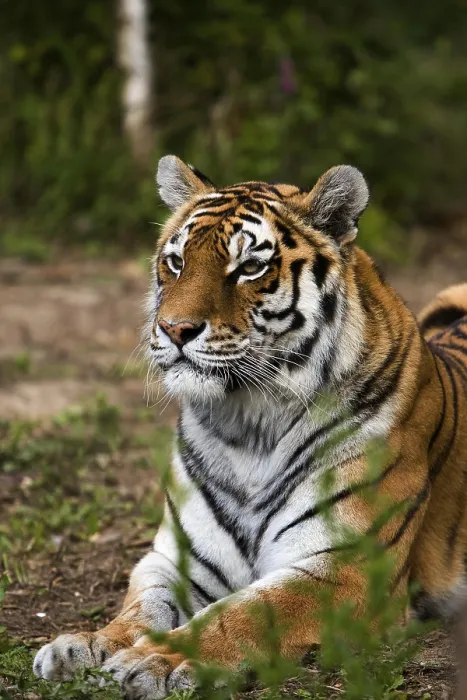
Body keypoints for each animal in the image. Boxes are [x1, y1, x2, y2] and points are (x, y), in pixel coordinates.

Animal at [34, 155, 467, 699]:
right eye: (176, 262)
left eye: (249, 267)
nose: (174, 329)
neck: (247, 424)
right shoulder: (176, 557)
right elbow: (140, 606)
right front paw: (85, 646)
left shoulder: (348, 568)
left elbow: (243, 614)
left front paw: (155, 660)